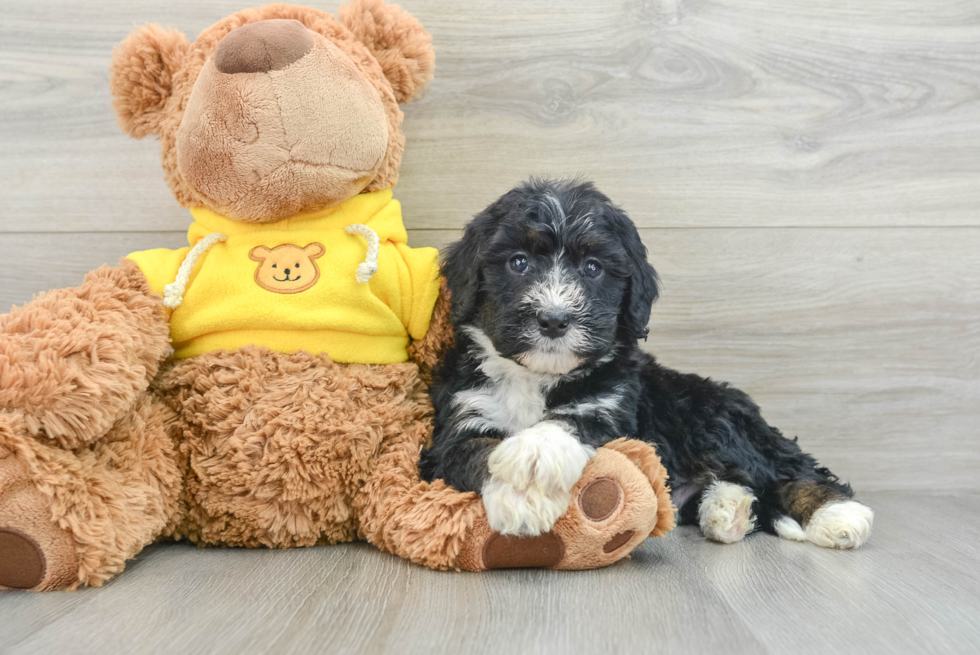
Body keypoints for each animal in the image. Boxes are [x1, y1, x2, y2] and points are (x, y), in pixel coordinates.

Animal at [420, 178, 872, 548]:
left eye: (593, 268)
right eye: (518, 262)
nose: (554, 319)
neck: (538, 376)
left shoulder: (610, 410)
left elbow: (571, 422)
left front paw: (534, 457)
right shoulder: (458, 421)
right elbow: (474, 449)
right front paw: (519, 492)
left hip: (712, 416)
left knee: (786, 466)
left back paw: (835, 514)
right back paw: (727, 509)